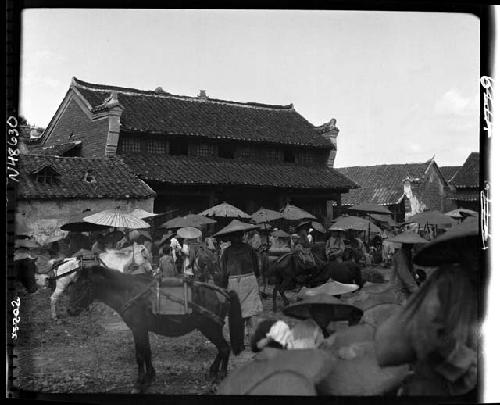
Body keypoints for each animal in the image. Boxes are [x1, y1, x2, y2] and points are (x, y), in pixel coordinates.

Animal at [66, 264, 246, 392]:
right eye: (72, 285)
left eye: (83, 285)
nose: (69, 310)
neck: (128, 292)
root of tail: (223, 292)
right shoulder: (142, 329)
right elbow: (147, 352)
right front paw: (150, 377)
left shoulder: (138, 328)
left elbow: (139, 355)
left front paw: (139, 383)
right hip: (210, 328)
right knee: (222, 348)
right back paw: (213, 371)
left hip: (210, 327)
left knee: (224, 348)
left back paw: (220, 376)